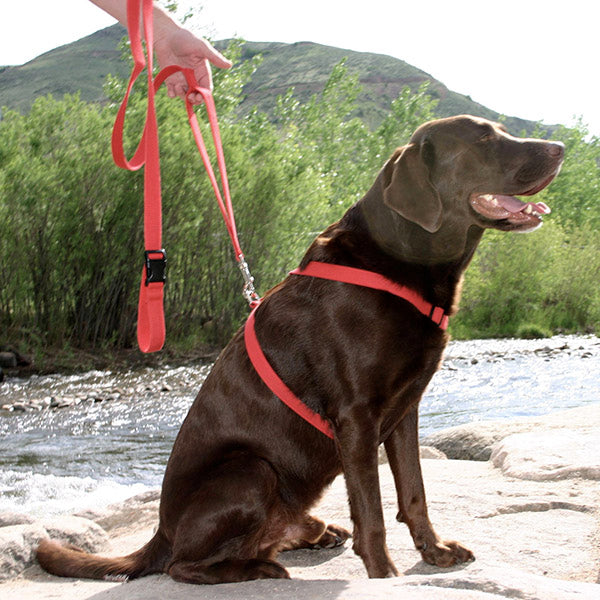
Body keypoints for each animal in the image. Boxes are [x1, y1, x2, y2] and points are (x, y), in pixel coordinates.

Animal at [36, 115, 564, 584]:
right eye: (484, 139)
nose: (560, 148)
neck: (400, 262)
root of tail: (160, 534)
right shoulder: (356, 416)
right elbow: (371, 512)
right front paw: (384, 575)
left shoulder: (405, 409)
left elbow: (414, 492)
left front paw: (433, 551)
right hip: (251, 470)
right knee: (183, 566)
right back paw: (257, 568)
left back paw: (308, 534)